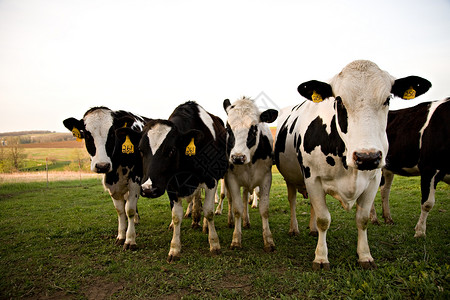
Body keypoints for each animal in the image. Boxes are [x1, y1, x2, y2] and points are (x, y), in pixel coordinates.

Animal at [62, 106, 150, 250]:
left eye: (112, 134)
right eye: (87, 135)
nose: (102, 166)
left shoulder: (135, 180)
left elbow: (129, 209)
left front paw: (130, 240)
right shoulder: (111, 183)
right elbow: (120, 210)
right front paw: (121, 236)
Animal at [136, 102, 229, 262]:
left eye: (171, 150)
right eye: (141, 150)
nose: (148, 189)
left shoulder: (211, 180)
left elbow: (209, 211)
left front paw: (214, 243)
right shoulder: (171, 185)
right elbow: (176, 216)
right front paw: (174, 248)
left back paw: (203, 224)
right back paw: (193, 218)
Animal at [222, 96, 278, 251]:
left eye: (254, 128)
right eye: (228, 128)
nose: (237, 158)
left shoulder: (266, 178)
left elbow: (264, 209)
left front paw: (268, 240)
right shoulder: (232, 179)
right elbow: (237, 209)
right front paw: (236, 239)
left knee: (246, 194)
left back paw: (246, 221)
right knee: (230, 200)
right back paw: (231, 221)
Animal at [274, 59, 432, 270]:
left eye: (387, 100)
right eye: (339, 101)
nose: (367, 157)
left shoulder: (374, 179)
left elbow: (362, 219)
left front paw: (365, 255)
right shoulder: (312, 178)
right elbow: (324, 219)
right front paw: (321, 257)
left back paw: (312, 230)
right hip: (291, 178)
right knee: (292, 200)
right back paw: (294, 229)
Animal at [370, 98, 448, 237]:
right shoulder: (429, 168)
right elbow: (427, 203)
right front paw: (420, 232)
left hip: (387, 167)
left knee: (385, 189)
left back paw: (388, 218)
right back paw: (374, 219)